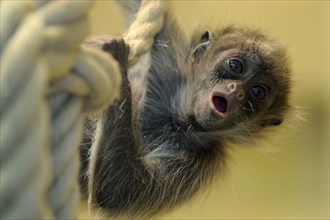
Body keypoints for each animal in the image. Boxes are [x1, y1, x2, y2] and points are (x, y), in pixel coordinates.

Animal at [80, 7, 292, 219]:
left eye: (257, 92)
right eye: (235, 66)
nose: (237, 91)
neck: (175, 118)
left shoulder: (199, 159)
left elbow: (119, 191)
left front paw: (115, 56)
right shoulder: (165, 62)